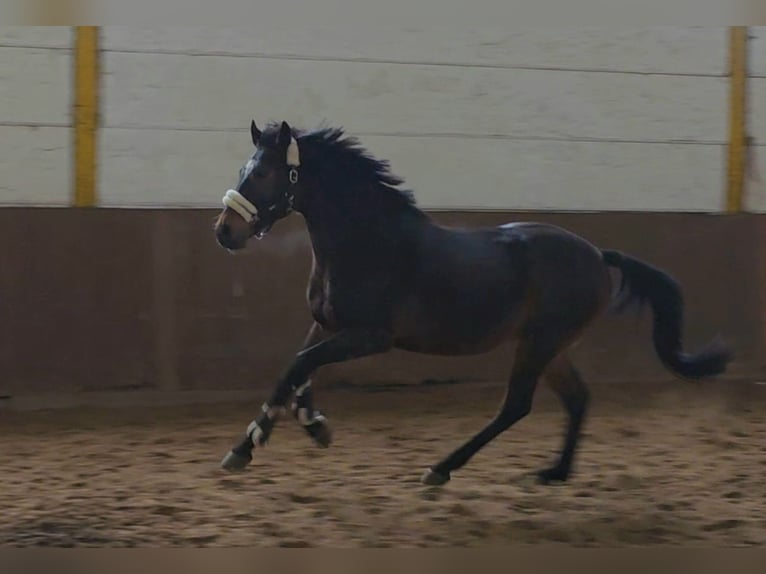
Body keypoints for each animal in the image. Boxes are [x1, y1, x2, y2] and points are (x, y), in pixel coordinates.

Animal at [213, 119, 732, 487]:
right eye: (242, 169)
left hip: (540, 343)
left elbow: (297, 366)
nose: (224, 232)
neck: (368, 243)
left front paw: (249, 445)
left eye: (264, 172)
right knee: (577, 398)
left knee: (517, 405)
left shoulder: (370, 336)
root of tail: (596, 254)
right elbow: (299, 368)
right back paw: (555, 473)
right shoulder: (327, 324)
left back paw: (440, 469)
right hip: (552, 346)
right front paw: (313, 426)